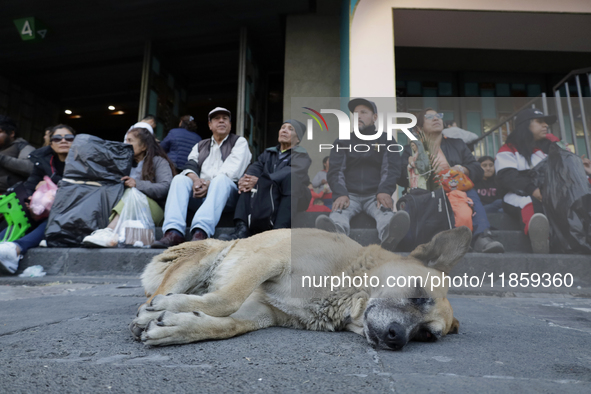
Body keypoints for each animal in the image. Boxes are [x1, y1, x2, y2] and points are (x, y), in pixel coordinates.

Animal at [131, 226, 472, 350]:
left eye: (426, 335)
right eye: (417, 294)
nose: (397, 339)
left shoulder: (261, 310)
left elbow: (226, 325)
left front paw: (177, 327)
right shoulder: (270, 259)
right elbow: (227, 298)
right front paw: (166, 309)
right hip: (200, 259)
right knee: (152, 296)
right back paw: (157, 303)